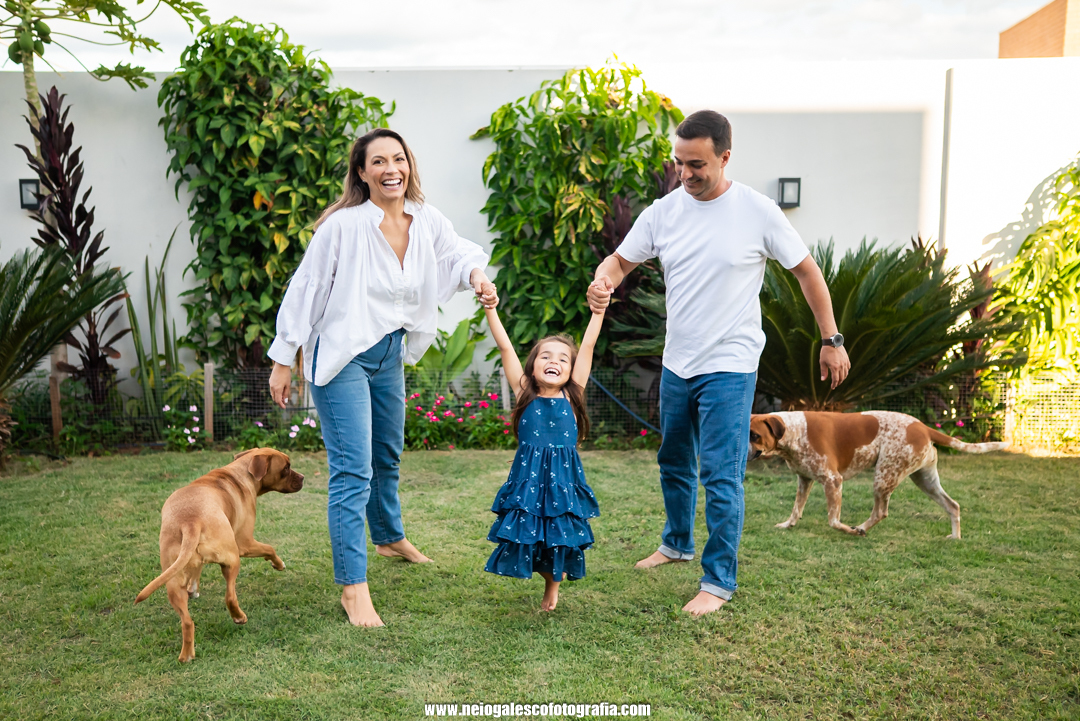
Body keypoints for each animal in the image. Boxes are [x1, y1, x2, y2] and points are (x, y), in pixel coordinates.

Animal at [135, 448, 304, 662]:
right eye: (286, 468)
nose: (303, 477)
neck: (240, 473)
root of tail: (190, 521)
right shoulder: (245, 543)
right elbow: (270, 548)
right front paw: (278, 564)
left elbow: (196, 572)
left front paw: (193, 589)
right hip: (232, 560)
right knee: (230, 597)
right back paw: (239, 617)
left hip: (172, 581)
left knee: (187, 622)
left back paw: (186, 655)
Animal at [748, 411, 1007, 539]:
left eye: (755, 435)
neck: (795, 430)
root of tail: (923, 426)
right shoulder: (804, 480)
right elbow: (796, 509)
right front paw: (788, 524)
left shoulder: (833, 481)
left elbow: (833, 521)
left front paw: (849, 530)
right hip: (925, 481)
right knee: (953, 506)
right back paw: (955, 537)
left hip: (883, 478)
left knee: (881, 512)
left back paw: (861, 528)